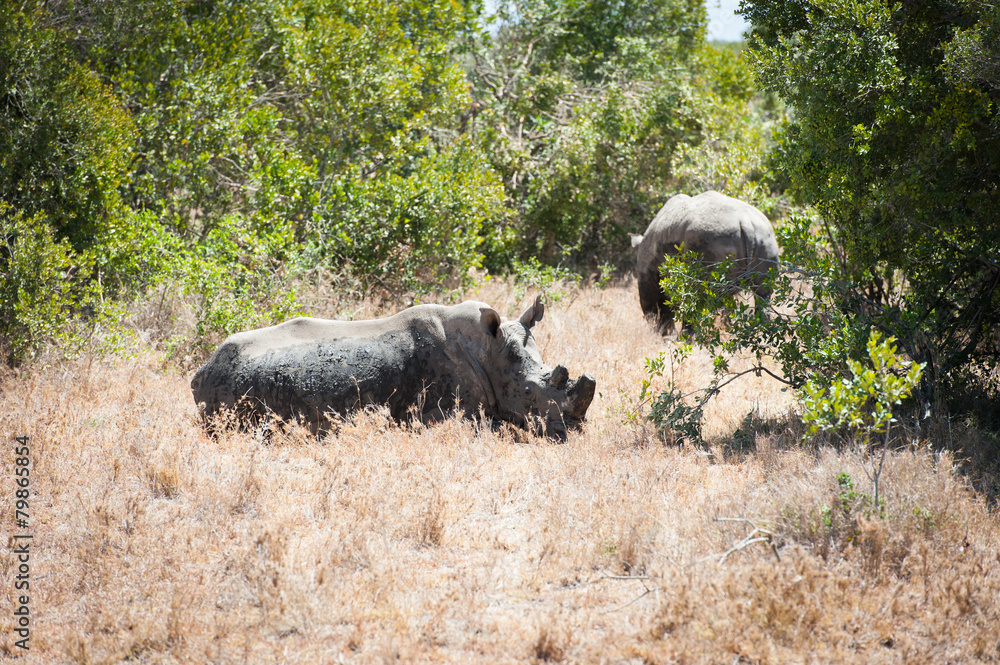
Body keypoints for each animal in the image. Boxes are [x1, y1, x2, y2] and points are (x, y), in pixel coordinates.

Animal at [190, 296, 596, 438]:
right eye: (528, 391)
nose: (571, 431)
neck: (487, 350)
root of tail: (203, 369)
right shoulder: (454, 413)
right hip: (234, 383)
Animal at [631, 190, 779, 333]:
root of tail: (746, 223)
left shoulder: (649, 273)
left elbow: (653, 303)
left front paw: (661, 332)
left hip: (710, 242)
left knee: (696, 297)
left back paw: (684, 337)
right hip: (765, 236)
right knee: (763, 293)